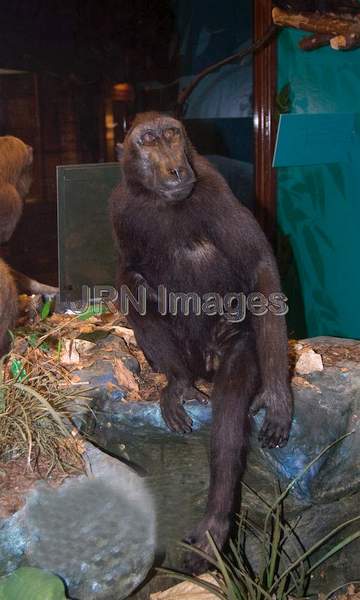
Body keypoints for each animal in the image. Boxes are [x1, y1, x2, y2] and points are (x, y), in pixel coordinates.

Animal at [110, 112, 292, 568]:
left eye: (173, 134)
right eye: (148, 140)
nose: (175, 169)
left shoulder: (213, 190)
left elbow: (261, 270)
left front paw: (278, 394)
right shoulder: (120, 206)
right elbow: (127, 275)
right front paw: (176, 383)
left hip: (230, 343)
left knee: (230, 399)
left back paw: (216, 521)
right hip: (186, 354)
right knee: (134, 283)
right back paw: (179, 381)